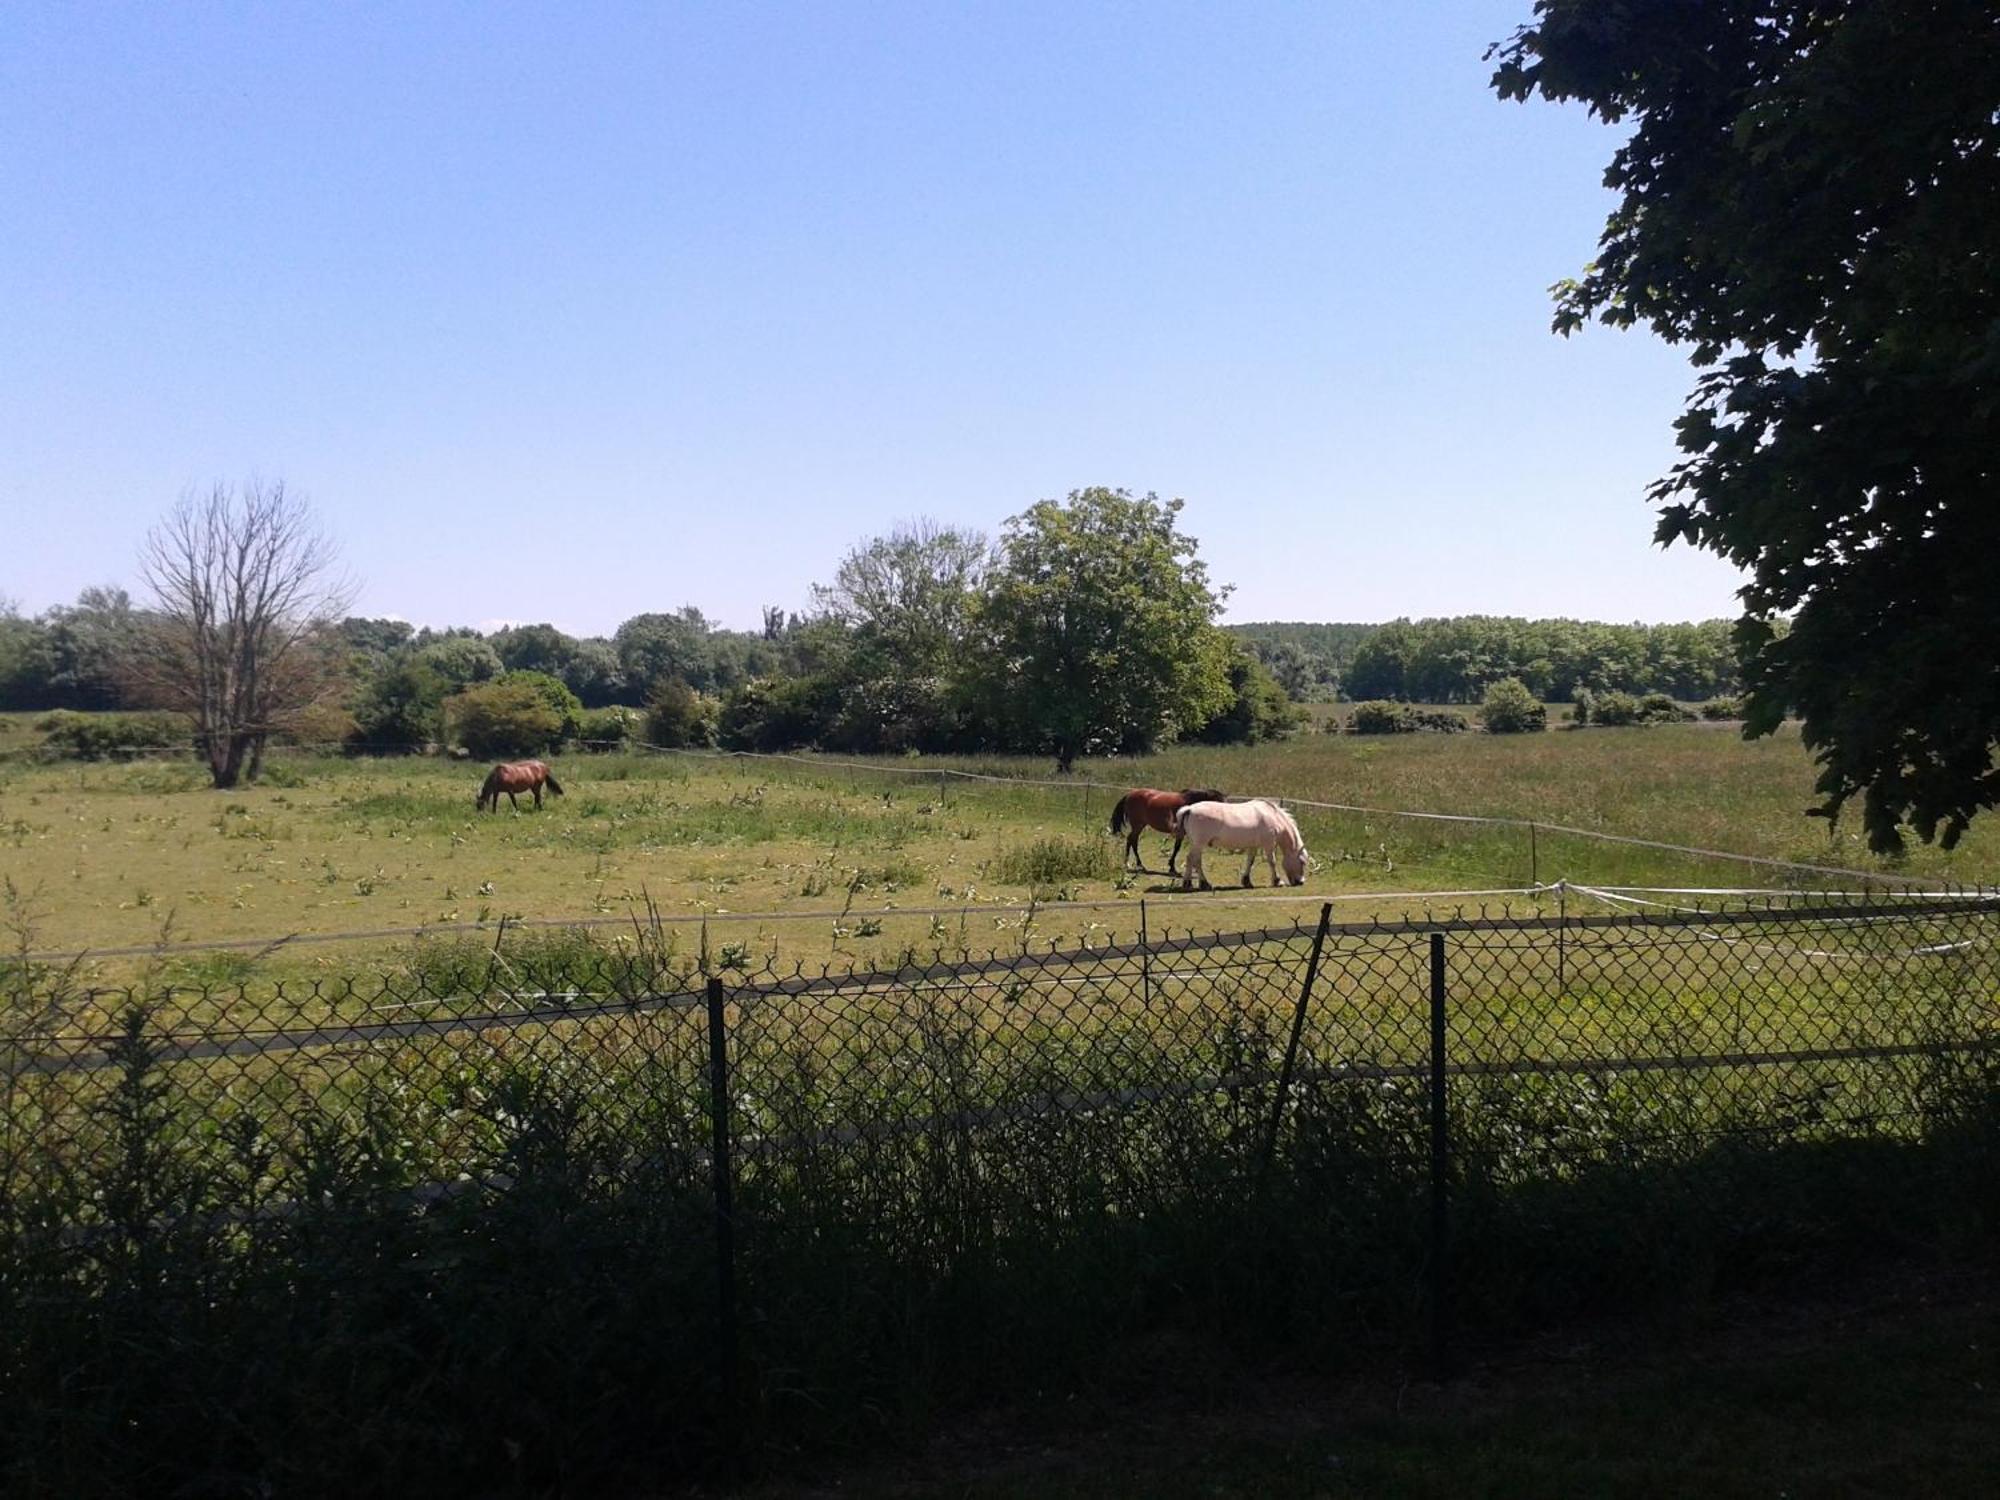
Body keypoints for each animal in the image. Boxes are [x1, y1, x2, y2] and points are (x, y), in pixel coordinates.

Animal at [1168, 800, 1312, 892]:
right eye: (1302, 862)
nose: (1301, 882)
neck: (1273, 816)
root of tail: (1189, 809)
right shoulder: (1269, 845)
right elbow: (1272, 862)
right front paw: (1277, 881)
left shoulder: (1253, 846)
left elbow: (1250, 862)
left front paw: (1247, 881)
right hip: (1199, 844)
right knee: (1195, 860)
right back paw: (1202, 884)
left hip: (1196, 844)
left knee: (1192, 860)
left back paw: (1190, 883)